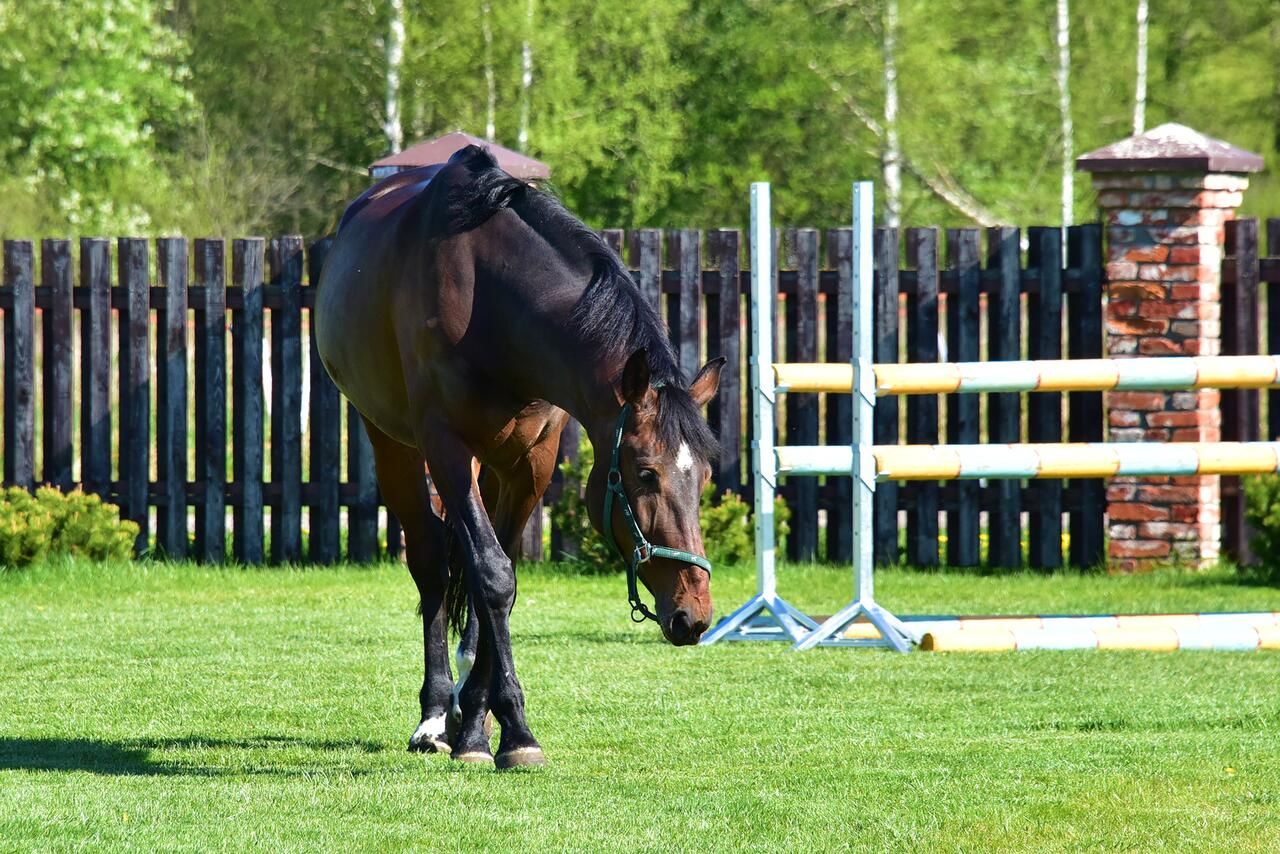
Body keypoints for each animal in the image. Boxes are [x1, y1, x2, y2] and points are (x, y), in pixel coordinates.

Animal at [313, 145, 721, 768]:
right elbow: (491, 576)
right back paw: (436, 716)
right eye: (645, 474)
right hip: (395, 446)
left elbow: (498, 583)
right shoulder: (448, 450)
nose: (693, 614)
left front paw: (486, 726)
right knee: (432, 562)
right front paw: (512, 728)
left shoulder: (532, 464)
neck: (494, 303)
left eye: (702, 477)